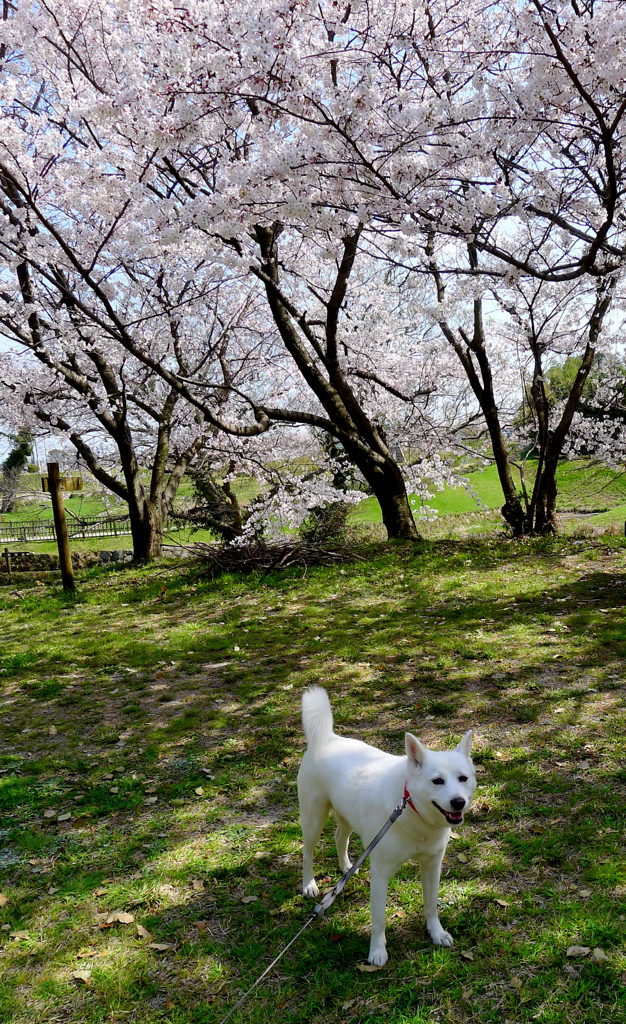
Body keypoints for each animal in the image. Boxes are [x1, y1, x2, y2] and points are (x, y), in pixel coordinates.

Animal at [297, 684, 475, 962]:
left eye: (463, 778)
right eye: (437, 781)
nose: (458, 802)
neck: (411, 810)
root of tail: (326, 738)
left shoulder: (432, 865)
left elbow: (431, 904)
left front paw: (436, 933)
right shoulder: (380, 873)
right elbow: (379, 918)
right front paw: (377, 952)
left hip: (348, 816)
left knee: (339, 837)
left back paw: (346, 867)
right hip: (313, 819)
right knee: (308, 852)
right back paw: (309, 885)